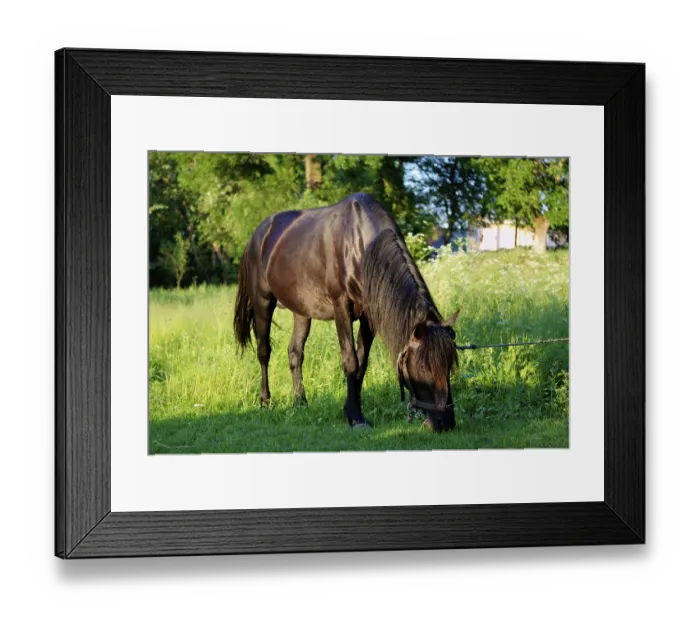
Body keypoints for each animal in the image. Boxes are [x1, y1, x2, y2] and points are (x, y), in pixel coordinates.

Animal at [233, 192, 460, 432]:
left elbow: (362, 362)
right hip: (263, 303)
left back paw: (300, 402)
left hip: (301, 312)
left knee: (295, 353)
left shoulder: (369, 316)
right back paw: (265, 401)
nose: (446, 423)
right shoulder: (340, 306)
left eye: (449, 366)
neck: (361, 246)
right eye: (425, 367)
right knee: (264, 352)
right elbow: (350, 361)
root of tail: (259, 234)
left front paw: (351, 411)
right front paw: (356, 418)